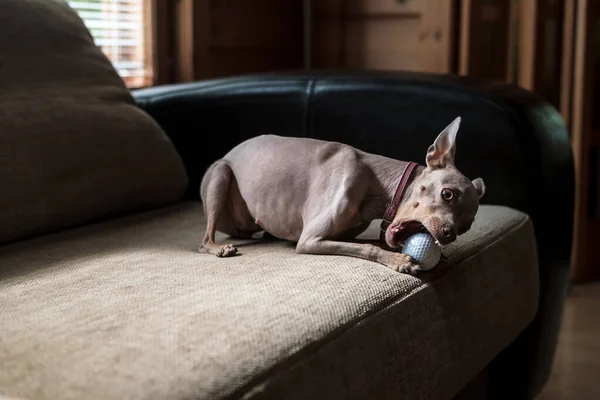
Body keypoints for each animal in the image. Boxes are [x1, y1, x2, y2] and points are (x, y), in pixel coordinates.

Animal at [199, 116, 486, 276]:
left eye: (465, 227)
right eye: (447, 194)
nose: (448, 235)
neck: (376, 183)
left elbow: (369, 241)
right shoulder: (309, 240)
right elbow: (368, 247)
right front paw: (397, 260)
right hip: (221, 175)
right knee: (204, 241)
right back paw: (219, 247)